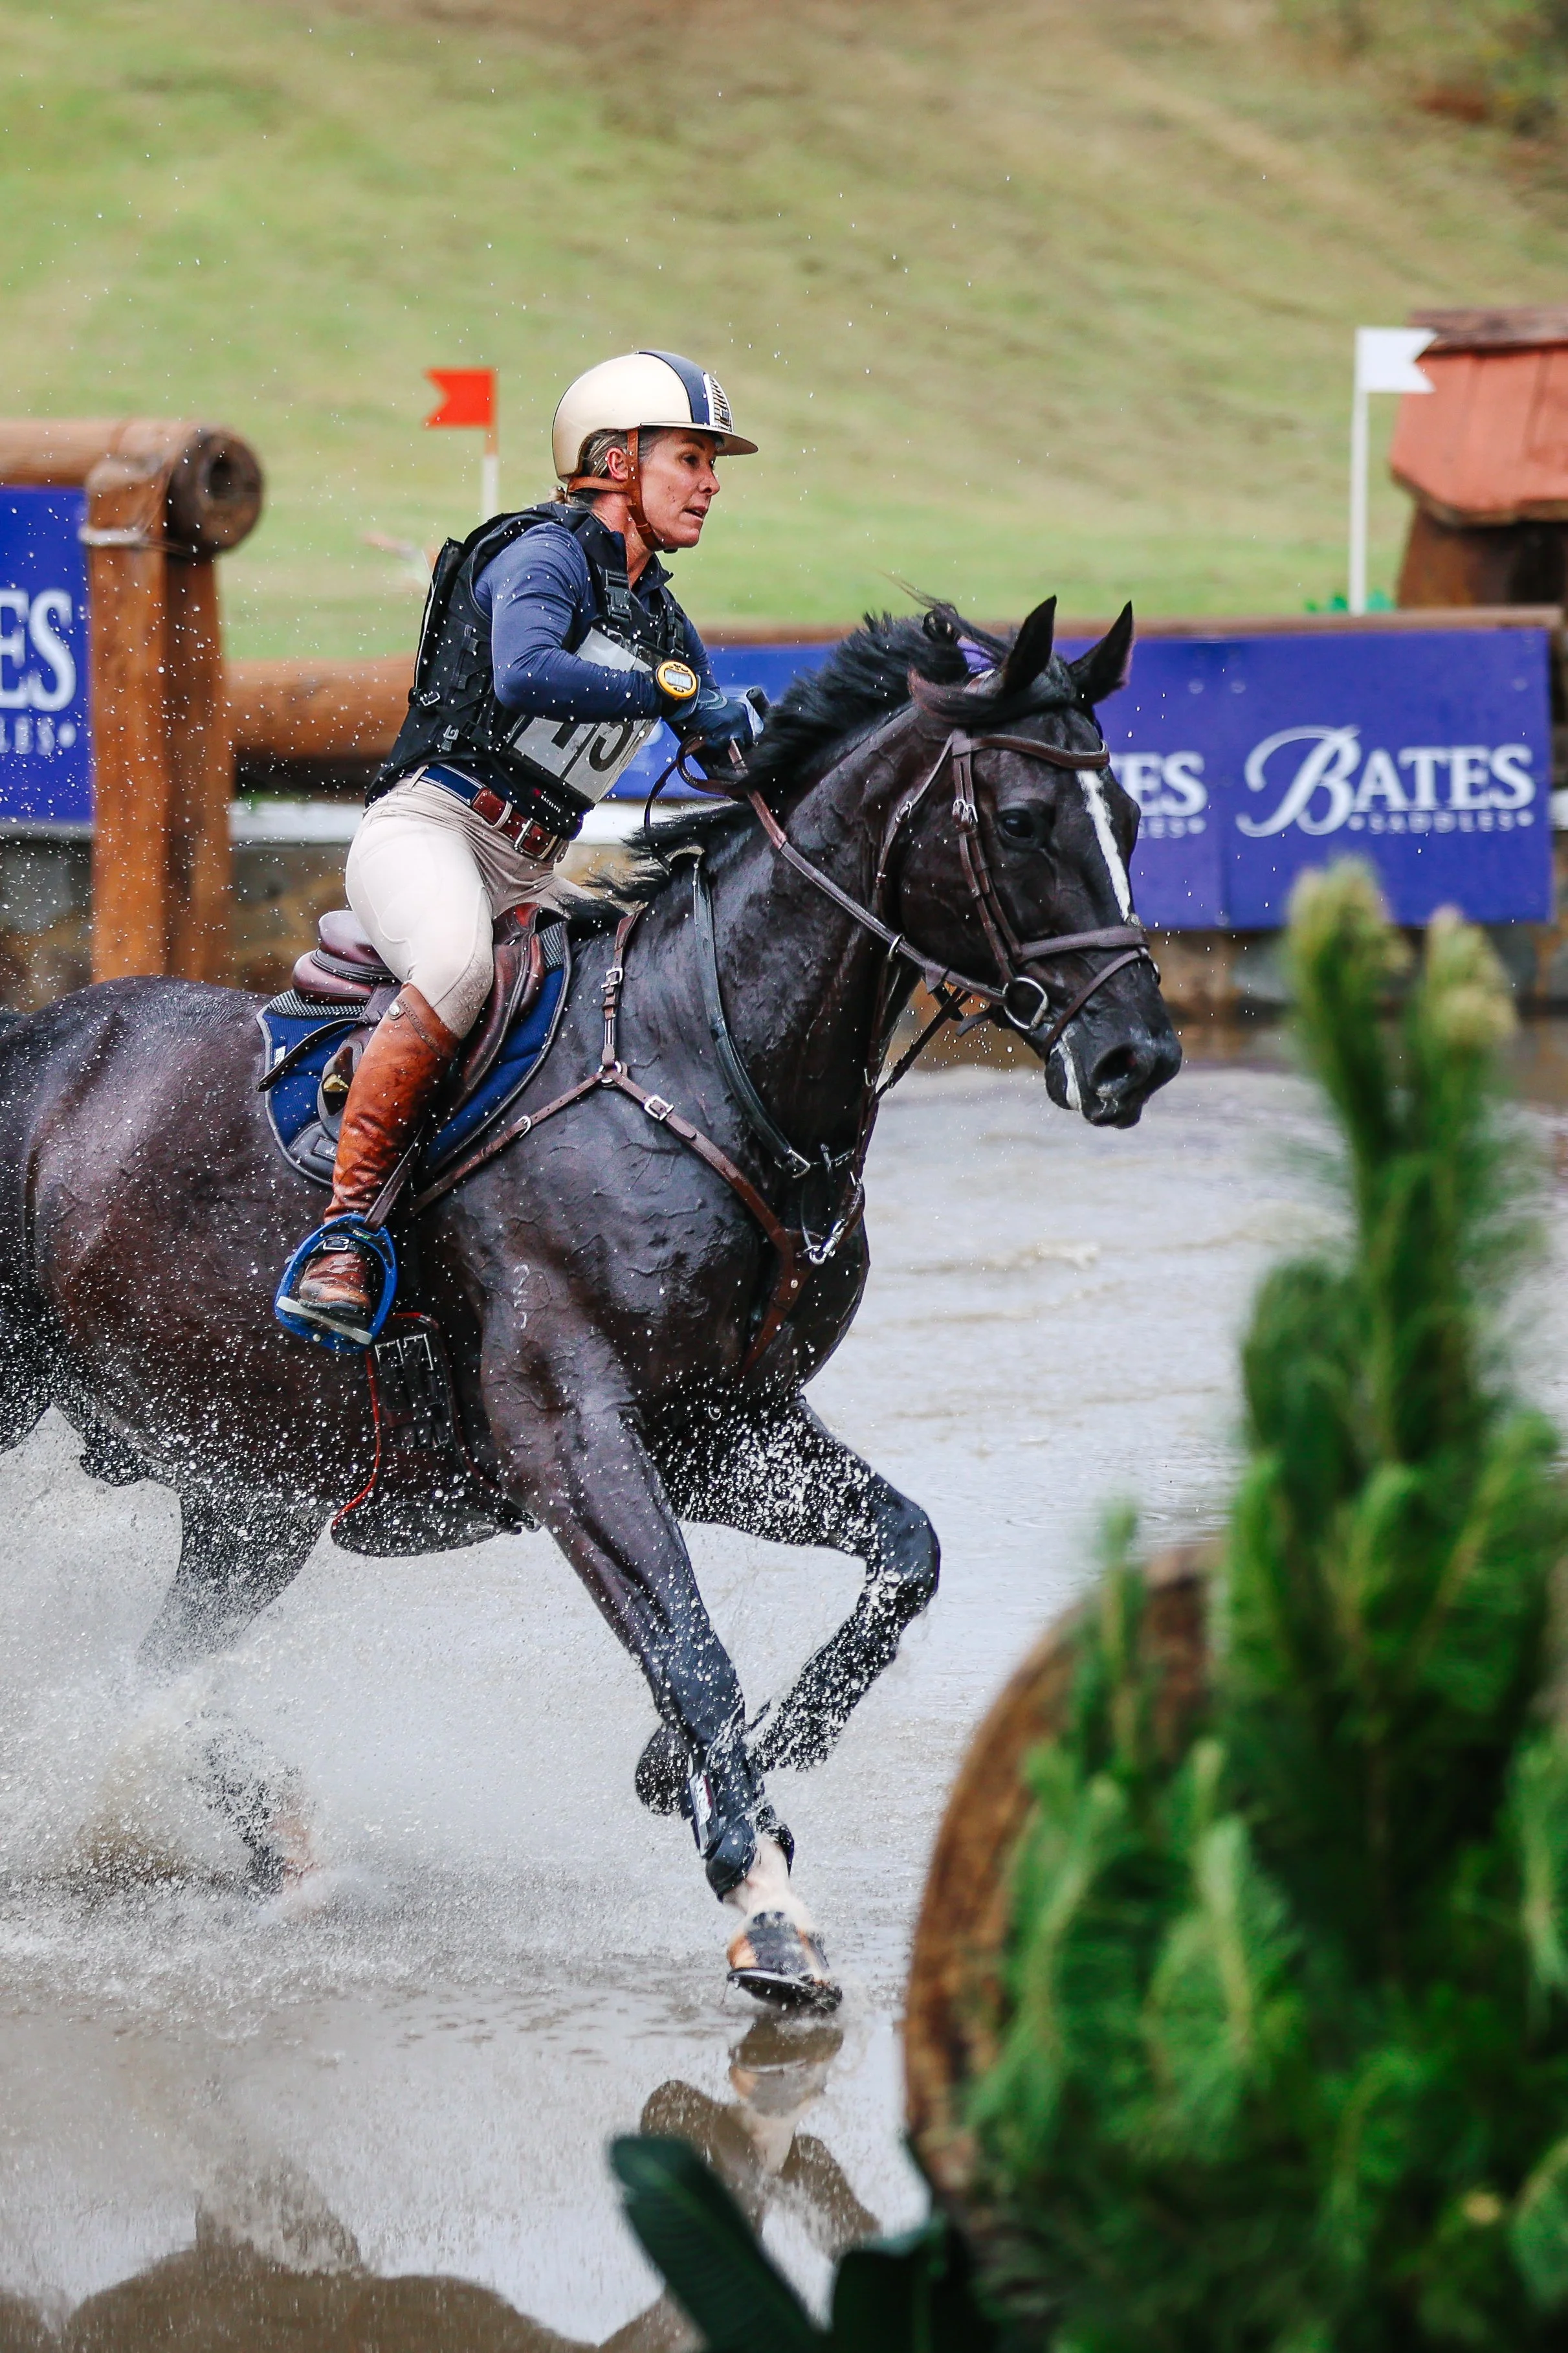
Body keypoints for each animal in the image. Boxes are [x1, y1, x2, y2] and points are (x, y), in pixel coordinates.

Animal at [0, 594, 1180, 2003]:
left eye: (1129, 815)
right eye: (1020, 820)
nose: (1136, 1057)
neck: (708, 1063)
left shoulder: (720, 1427)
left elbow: (900, 1554)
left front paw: (703, 1761)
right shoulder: (568, 1434)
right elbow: (687, 1641)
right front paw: (763, 1898)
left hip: (254, 1495)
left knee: (152, 1678)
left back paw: (268, 1836)